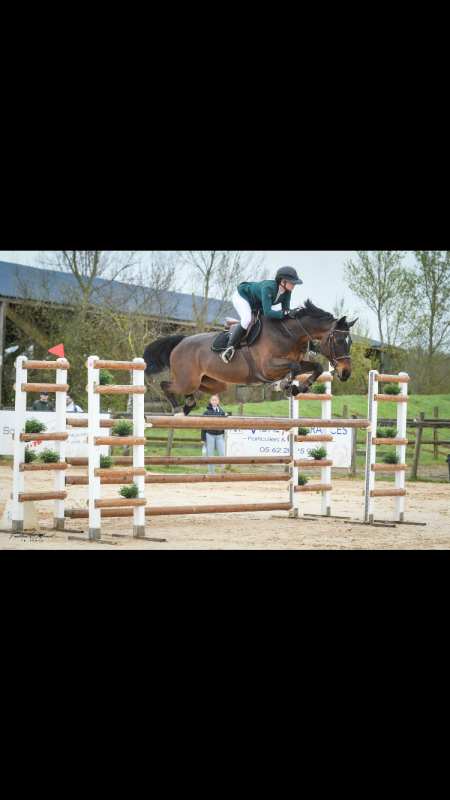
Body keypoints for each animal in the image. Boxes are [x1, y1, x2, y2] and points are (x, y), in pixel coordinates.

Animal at [143, 299, 357, 415]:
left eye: (350, 342)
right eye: (339, 340)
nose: (346, 373)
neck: (290, 333)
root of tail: (182, 341)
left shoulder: (294, 362)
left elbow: (316, 368)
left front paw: (298, 388)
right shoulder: (268, 367)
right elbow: (294, 368)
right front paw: (281, 386)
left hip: (213, 383)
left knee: (191, 393)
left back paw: (187, 407)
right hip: (188, 380)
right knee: (166, 385)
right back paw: (178, 410)